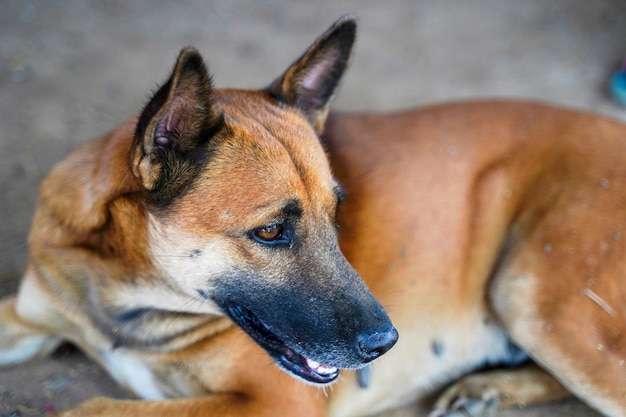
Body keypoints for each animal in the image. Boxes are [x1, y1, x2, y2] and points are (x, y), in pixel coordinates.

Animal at [1, 14, 624, 416]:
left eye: (336, 213)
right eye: (271, 231)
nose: (384, 345)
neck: (123, 294)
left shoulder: (269, 402)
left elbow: (91, 407)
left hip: (535, 298)